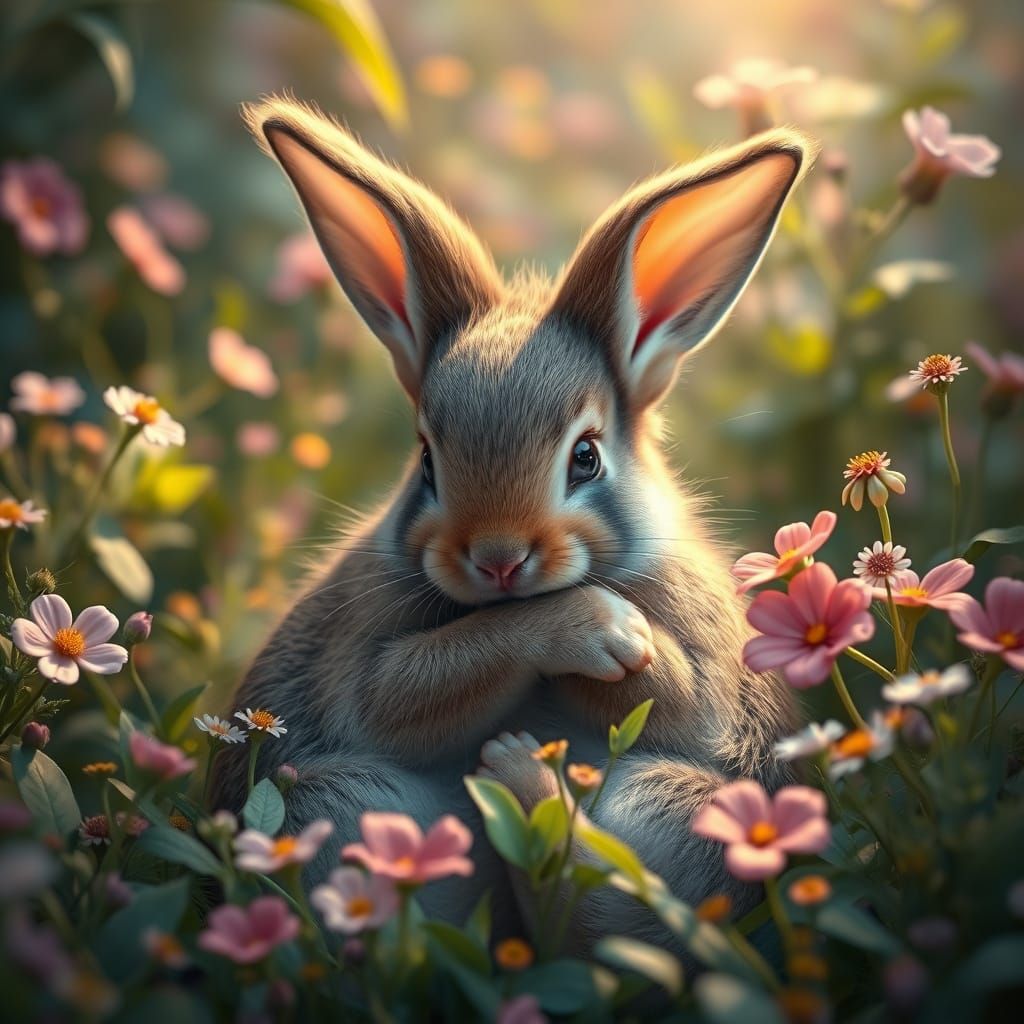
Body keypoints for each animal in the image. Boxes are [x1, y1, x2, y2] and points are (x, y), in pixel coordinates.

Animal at [213, 96, 815, 949]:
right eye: (426, 459)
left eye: (586, 457)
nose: (497, 558)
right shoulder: (368, 654)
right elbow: (411, 686)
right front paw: (595, 628)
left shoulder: (707, 666)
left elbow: (679, 698)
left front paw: (614, 639)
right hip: (342, 804)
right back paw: (513, 770)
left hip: (680, 809)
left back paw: (517, 773)